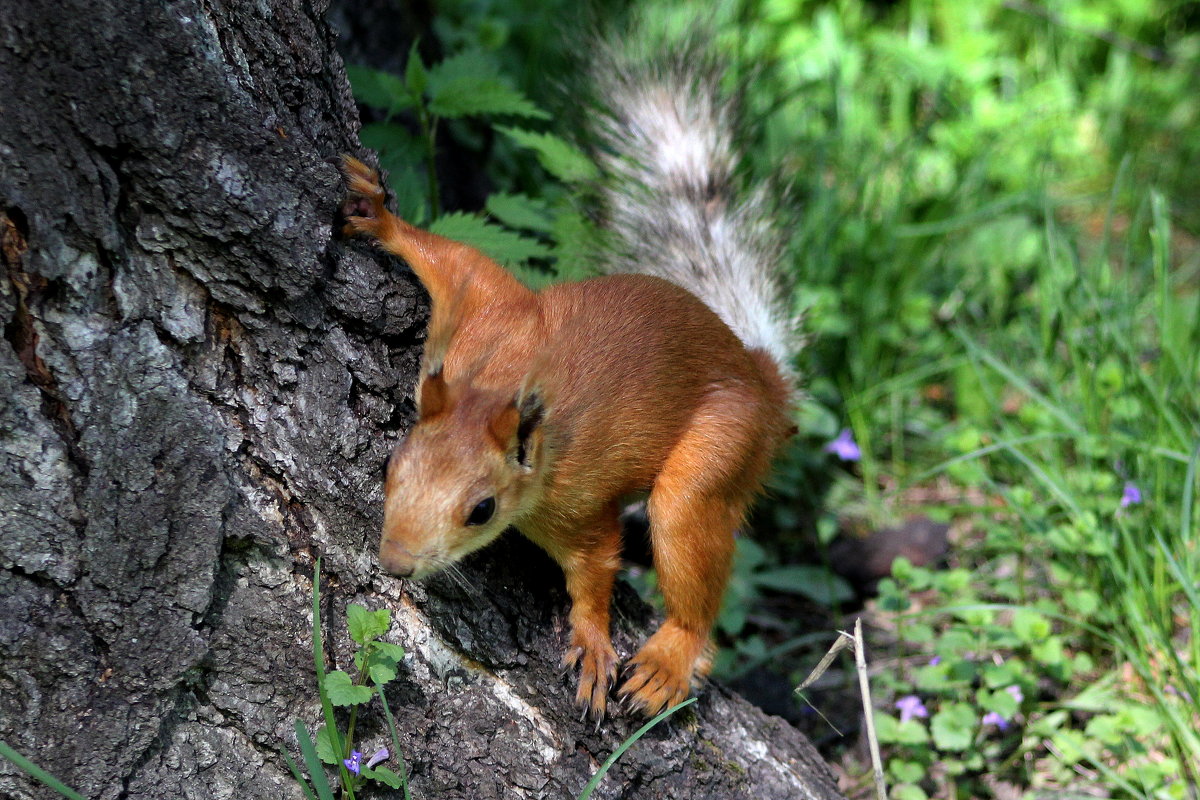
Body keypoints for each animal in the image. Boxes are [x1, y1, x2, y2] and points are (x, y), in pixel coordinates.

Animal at [338, 47, 796, 719]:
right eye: (390, 466)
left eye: (481, 510)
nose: (395, 564)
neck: (496, 384)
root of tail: (761, 378)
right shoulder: (488, 313)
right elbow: (462, 262)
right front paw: (381, 219)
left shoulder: (576, 502)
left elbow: (596, 565)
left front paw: (593, 644)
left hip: (729, 440)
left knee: (687, 528)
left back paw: (670, 660)